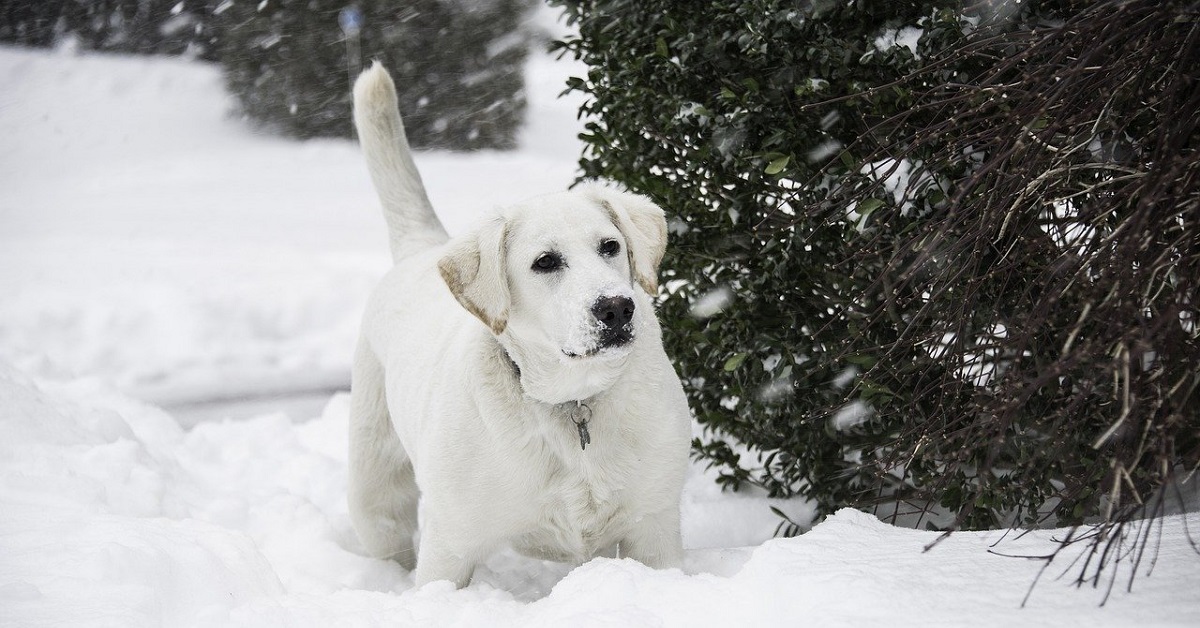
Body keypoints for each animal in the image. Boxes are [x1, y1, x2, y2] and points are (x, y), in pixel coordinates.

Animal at [345, 61, 696, 588]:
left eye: (610, 246)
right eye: (545, 262)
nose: (616, 308)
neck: (572, 403)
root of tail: (422, 248)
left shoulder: (653, 530)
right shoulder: (450, 546)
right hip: (375, 485)